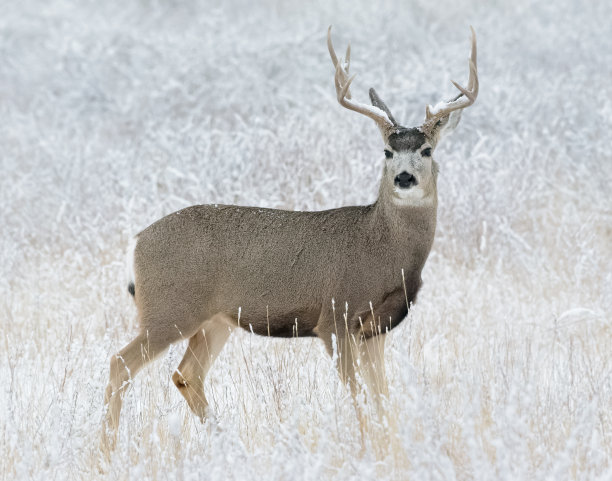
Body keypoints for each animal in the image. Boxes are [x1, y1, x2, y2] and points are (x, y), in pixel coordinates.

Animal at [101, 26, 478, 452]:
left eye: (426, 150)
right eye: (387, 152)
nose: (404, 178)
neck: (383, 250)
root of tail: (136, 241)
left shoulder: (375, 329)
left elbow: (383, 396)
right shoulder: (335, 317)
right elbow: (360, 395)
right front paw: (368, 448)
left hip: (214, 320)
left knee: (185, 375)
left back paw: (227, 444)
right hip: (168, 310)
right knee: (120, 364)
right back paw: (106, 450)